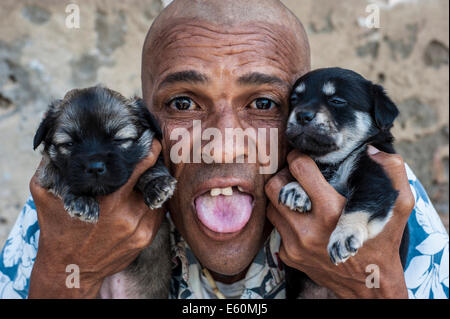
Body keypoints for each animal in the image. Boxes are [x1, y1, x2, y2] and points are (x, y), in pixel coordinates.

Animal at [33, 86, 177, 224]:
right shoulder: (46, 171)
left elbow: (154, 166)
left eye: (119, 140)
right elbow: (58, 176)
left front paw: (155, 183)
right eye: (69, 144)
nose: (95, 168)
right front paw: (82, 198)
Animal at [280, 68, 406, 268]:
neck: (337, 159)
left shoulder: (375, 179)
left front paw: (344, 236)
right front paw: (297, 188)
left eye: (337, 101)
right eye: (294, 99)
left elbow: (359, 205)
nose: (302, 115)